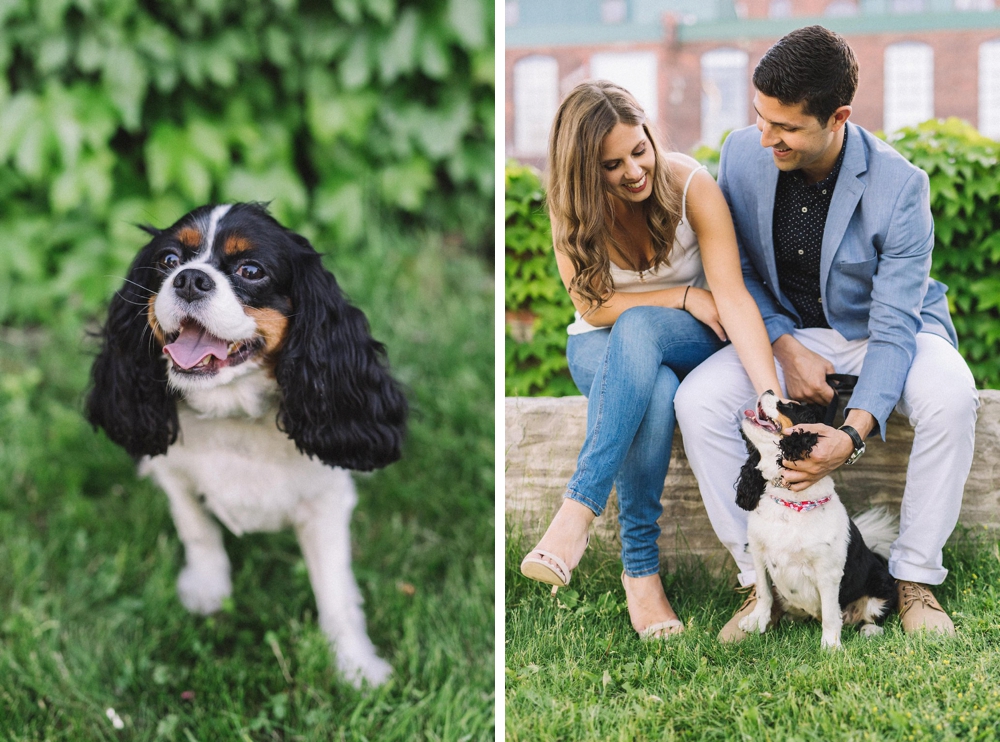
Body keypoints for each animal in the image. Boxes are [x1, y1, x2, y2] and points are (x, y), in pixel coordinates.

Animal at [86, 202, 406, 684]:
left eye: (250, 270)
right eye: (168, 260)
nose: (189, 279)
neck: (233, 413)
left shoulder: (327, 501)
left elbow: (334, 590)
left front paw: (356, 666)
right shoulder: (175, 475)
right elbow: (197, 531)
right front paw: (208, 589)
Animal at [736, 392, 900, 648]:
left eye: (789, 405)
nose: (768, 391)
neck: (789, 500)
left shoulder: (828, 572)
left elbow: (832, 614)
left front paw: (830, 647)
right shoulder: (758, 553)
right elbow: (764, 592)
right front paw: (756, 621)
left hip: (882, 586)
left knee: (872, 616)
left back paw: (870, 631)